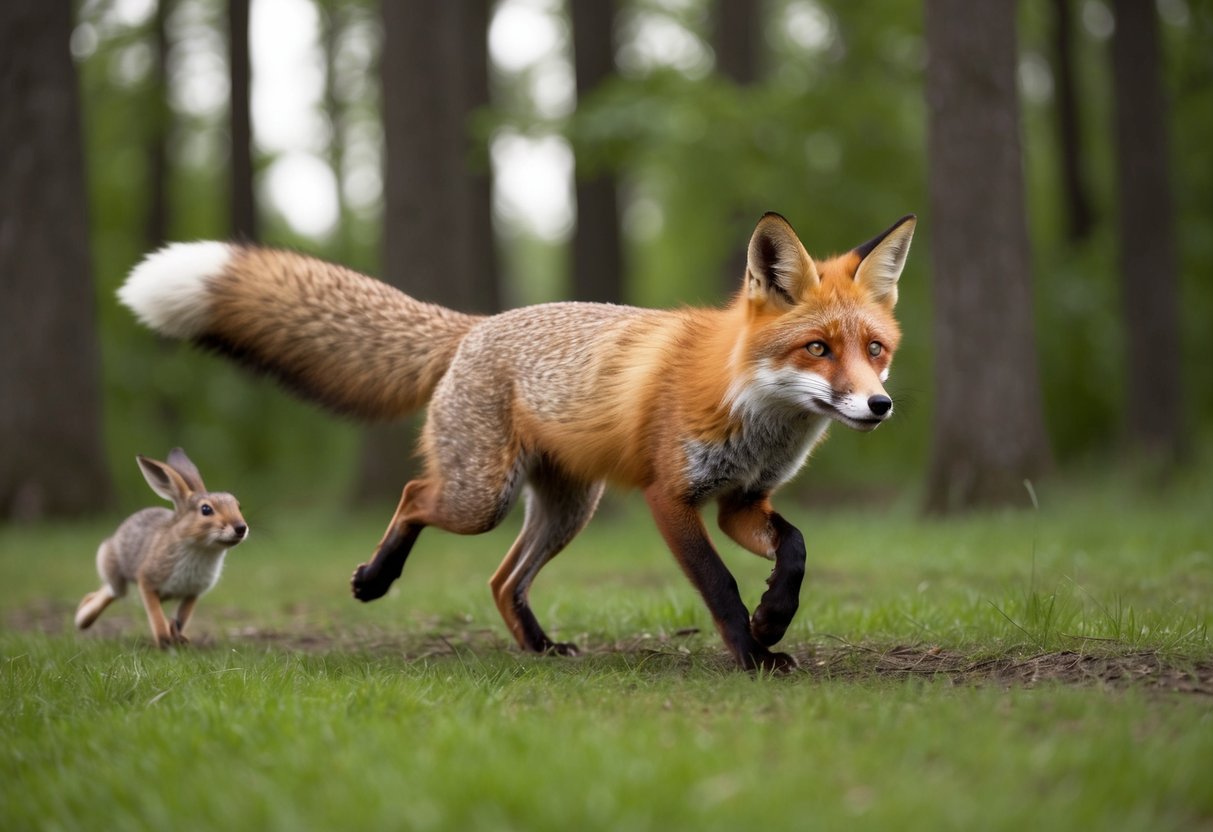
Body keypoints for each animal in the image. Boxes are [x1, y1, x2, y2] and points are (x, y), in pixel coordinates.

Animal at [75, 448, 248, 648]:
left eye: (238, 506)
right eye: (206, 510)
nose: (241, 528)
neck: (198, 547)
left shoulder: (192, 592)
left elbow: (182, 616)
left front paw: (178, 637)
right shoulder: (147, 581)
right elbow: (155, 612)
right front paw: (164, 639)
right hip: (114, 569)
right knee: (111, 591)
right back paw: (82, 618)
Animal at [118, 212, 915, 671]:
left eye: (874, 349)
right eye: (817, 348)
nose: (879, 405)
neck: (750, 406)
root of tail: (476, 324)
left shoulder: (740, 502)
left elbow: (796, 550)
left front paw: (773, 618)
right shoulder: (671, 498)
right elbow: (717, 584)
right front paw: (752, 652)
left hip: (564, 510)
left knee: (503, 580)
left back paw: (538, 647)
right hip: (482, 499)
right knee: (414, 494)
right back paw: (376, 578)